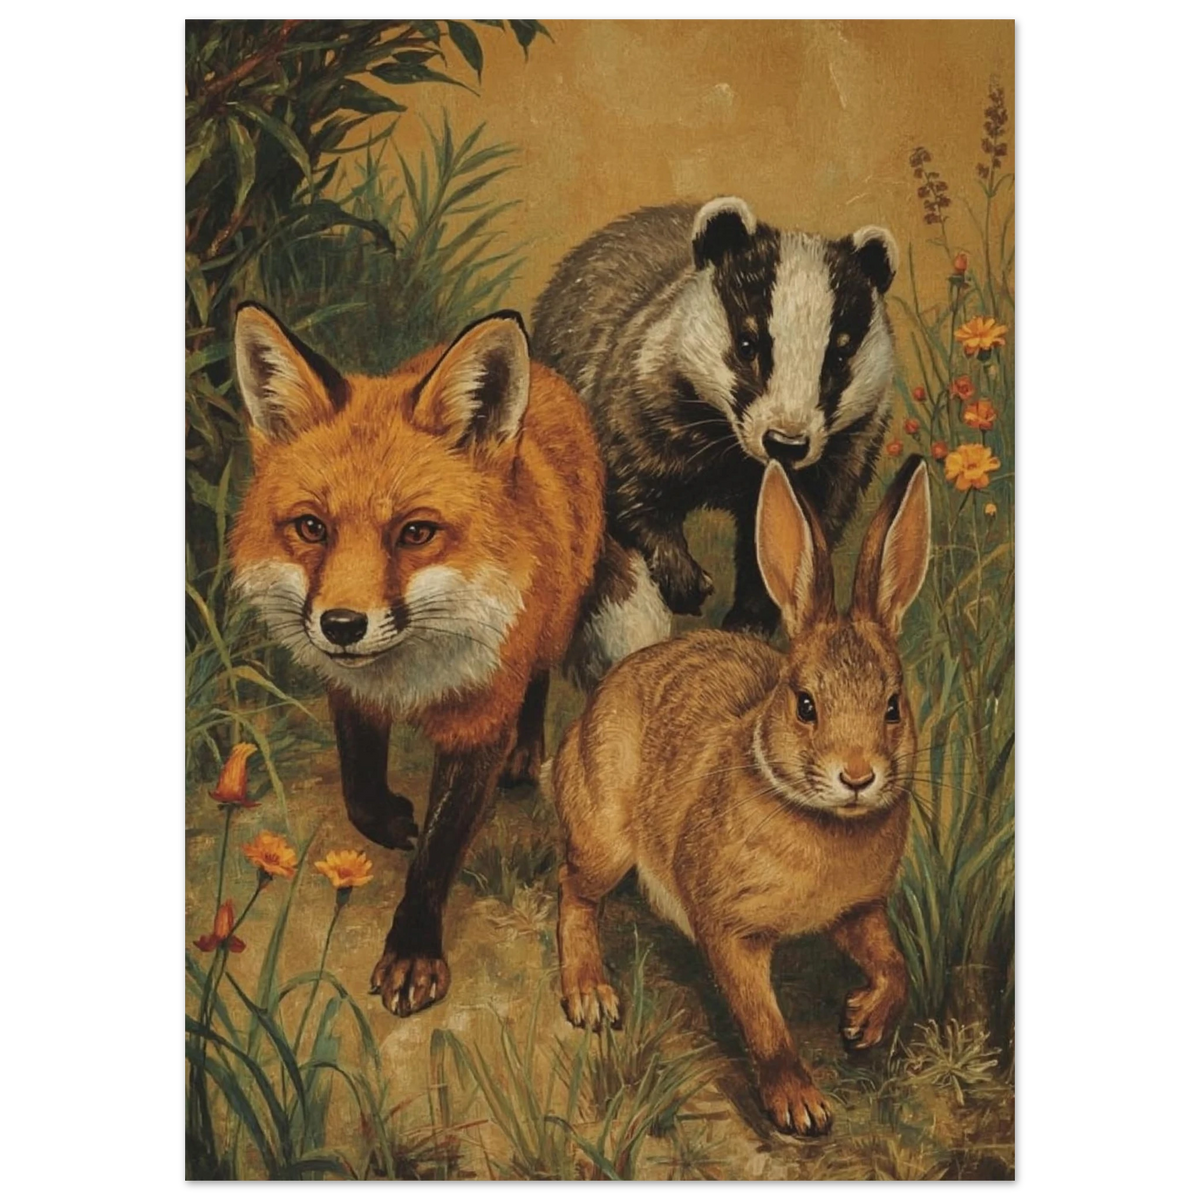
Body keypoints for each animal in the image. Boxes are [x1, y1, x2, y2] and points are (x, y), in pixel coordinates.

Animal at [549, 453, 931, 1137]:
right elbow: (763, 1021)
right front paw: (801, 1106)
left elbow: (895, 967)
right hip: (603, 834)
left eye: (893, 706)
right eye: (804, 704)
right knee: (574, 891)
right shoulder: (729, 928)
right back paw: (590, 994)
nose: (858, 776)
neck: (816, 816)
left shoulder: (858, 911)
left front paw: (862, 1023)